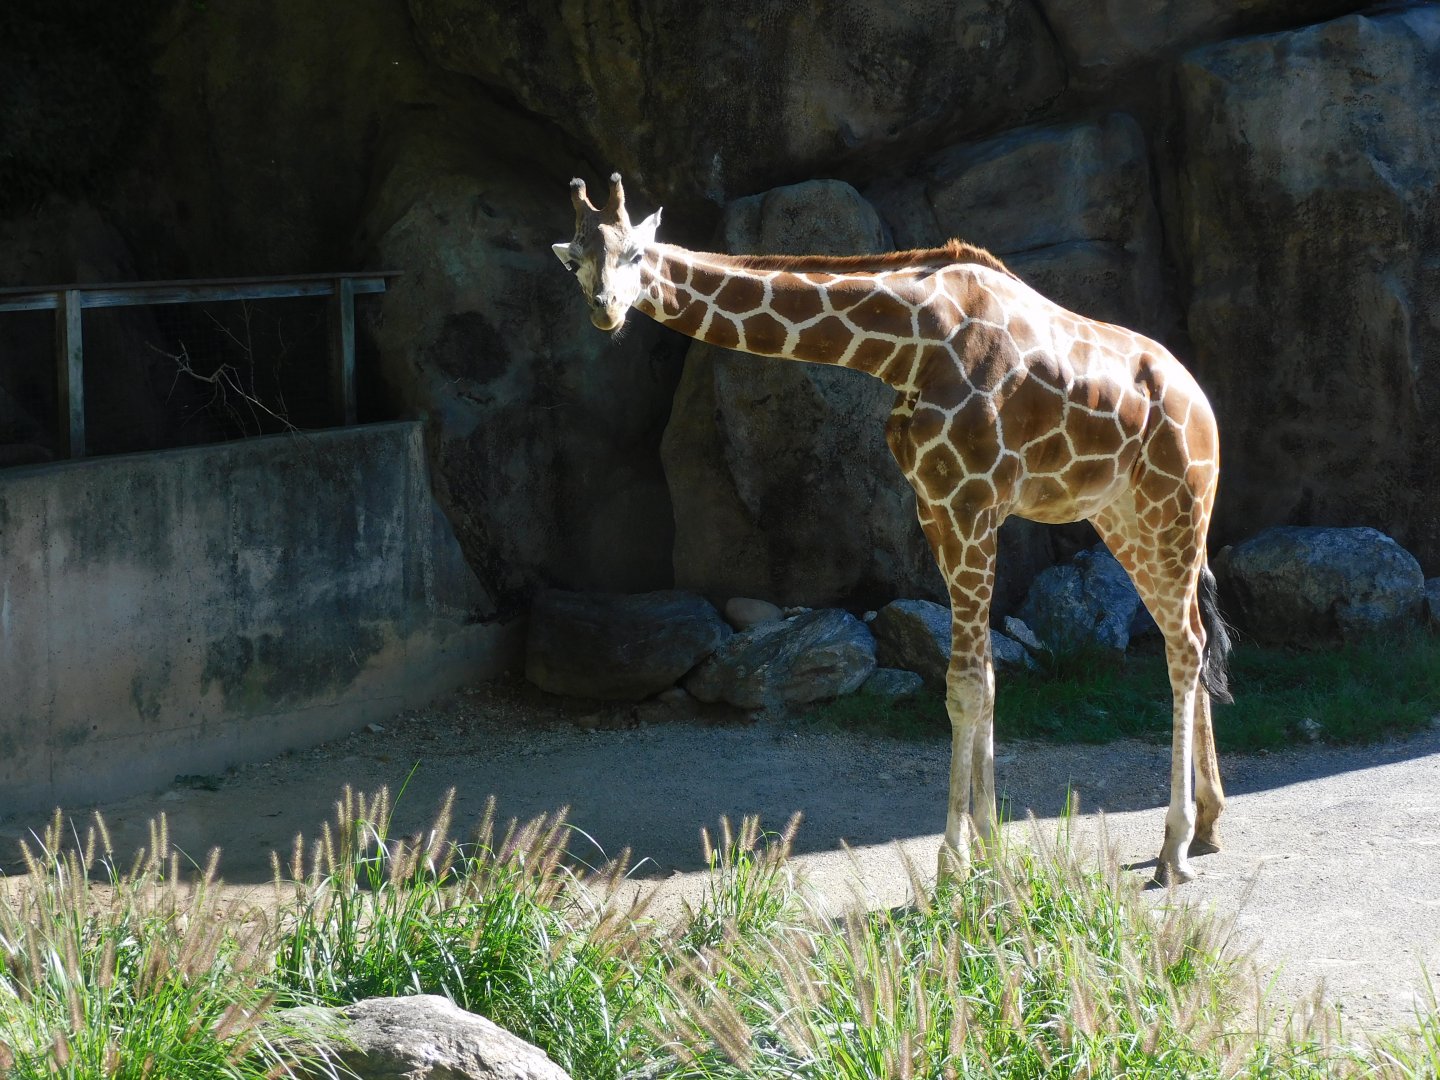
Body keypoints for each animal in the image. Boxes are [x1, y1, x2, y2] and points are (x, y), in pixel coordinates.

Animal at [553, 174, 1232, 886]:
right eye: (576, 262)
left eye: (634, 255)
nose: (606, 311)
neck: (905, 345)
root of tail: (1201, 402)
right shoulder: (937, 506)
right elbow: (985, 679)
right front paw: (990, 851)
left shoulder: (971, 502)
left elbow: (965, 685)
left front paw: (951, 863)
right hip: (1123, 517)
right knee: (1184, 635)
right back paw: (1207, 826)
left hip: (1177, 505)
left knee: (1186, 646)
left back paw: (1175, 848)